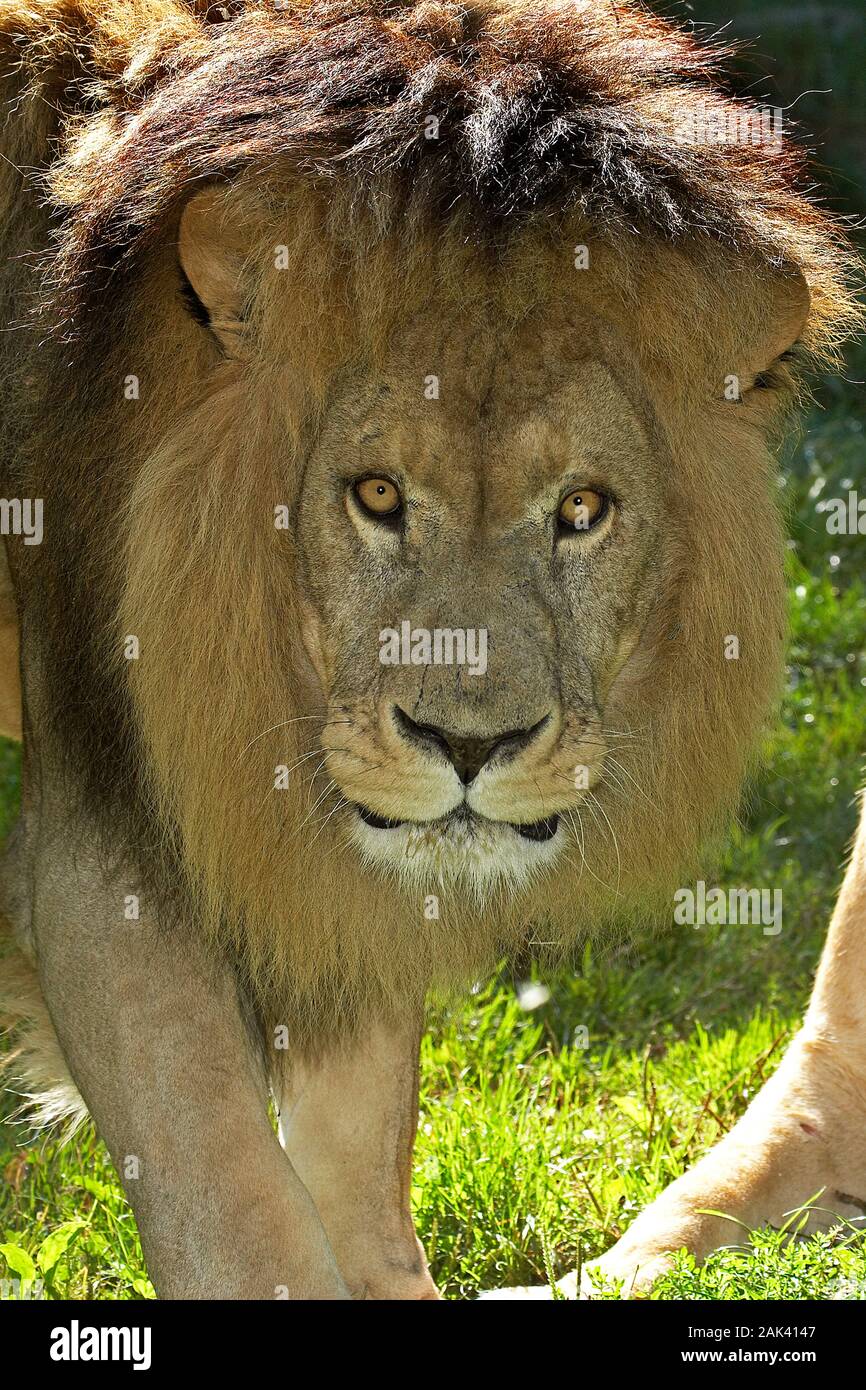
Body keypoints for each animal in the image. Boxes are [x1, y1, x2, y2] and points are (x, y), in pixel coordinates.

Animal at [0, 0, 863, 1300]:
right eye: (374, 494)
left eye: (580, 508)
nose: (469, 745)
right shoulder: (107, 809)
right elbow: (236, 1210)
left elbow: (354, 1167)